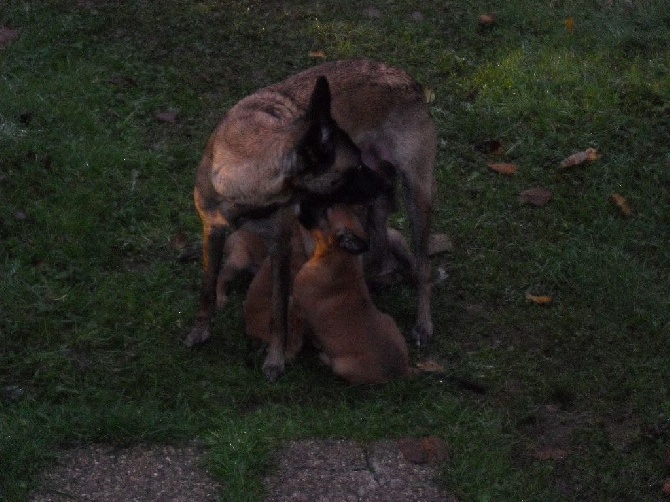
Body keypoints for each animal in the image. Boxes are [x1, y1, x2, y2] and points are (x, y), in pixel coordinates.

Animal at [292, 204, 412, 384]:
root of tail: (403, 371)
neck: (341, 256)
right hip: (389, 319)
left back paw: (325, 357)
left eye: (325, 213)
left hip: (342, 366)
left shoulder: (297, 306)